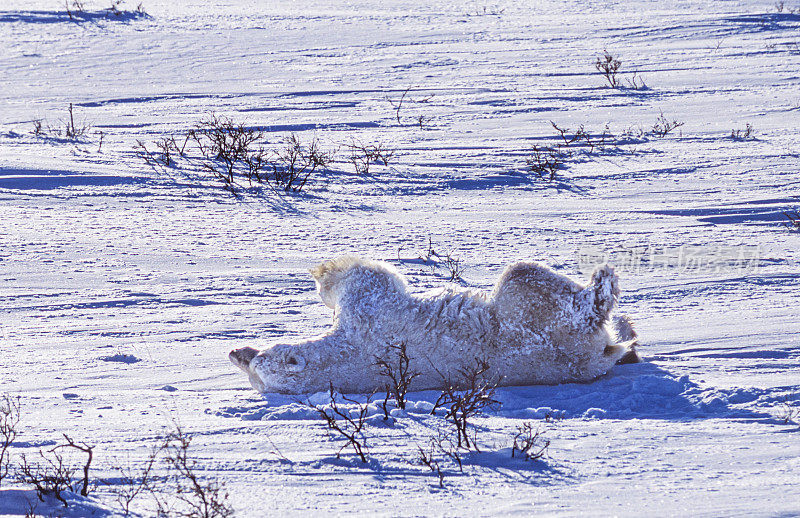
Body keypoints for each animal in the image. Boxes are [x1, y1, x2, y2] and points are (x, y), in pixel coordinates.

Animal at [230, 258, 636, 396]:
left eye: (259, 358)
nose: (237, 351)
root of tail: (594, 359)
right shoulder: (368, 324)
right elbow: (368, 279)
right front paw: (328, 271)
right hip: (545, 333)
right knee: (524, 278)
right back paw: (605, 291)